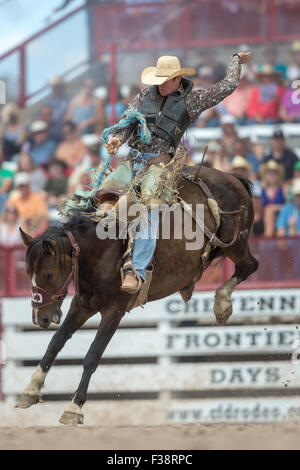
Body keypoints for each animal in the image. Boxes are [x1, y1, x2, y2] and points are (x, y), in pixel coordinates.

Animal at [15, 165, 258, 426]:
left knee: (250, 265)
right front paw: (30, 391)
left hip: (235, 244)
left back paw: (222, 306)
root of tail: (233, 178)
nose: (40, 318)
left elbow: (92, 356)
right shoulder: (82, 304)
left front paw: (74, 408)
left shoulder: (114, 310)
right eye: (28, 273)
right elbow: (55, 342)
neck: (103, 248)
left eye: (48, 274)